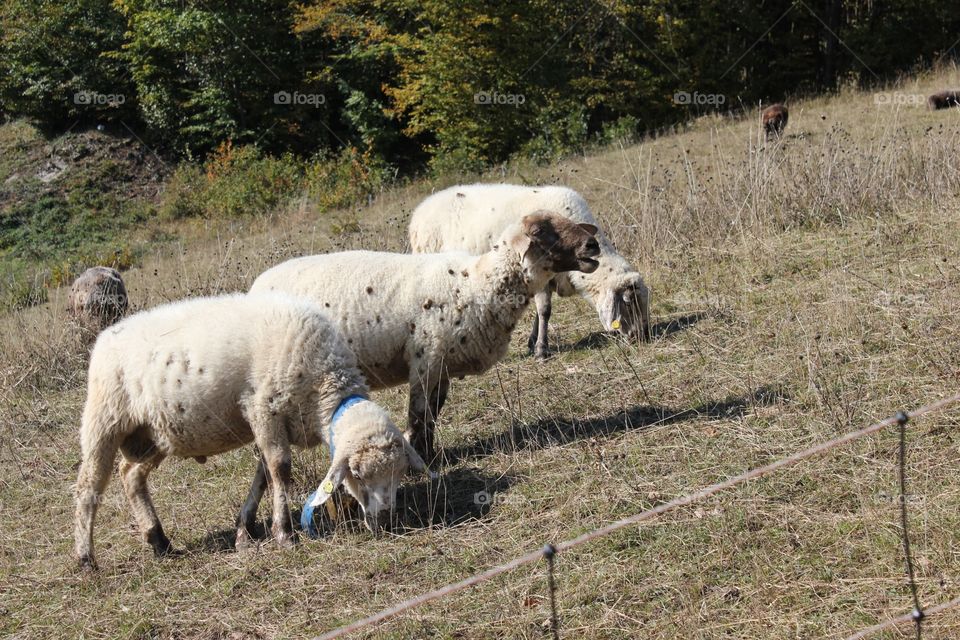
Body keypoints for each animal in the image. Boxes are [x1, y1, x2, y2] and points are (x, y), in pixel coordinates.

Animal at [73, 293, 425, 570]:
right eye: (358, 474)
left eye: (400, 472)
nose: (386, 521)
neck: (323, 384)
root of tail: (104, 337)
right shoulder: (263, 408)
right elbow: (280, 469)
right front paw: (284, 533)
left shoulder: (267, 420)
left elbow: (264, 473)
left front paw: (245, 529)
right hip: (104, 419)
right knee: (89, 487)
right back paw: (85, 558)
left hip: (153, 436)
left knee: (130, 474)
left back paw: (159, 542)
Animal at [249, 212, 601, 462]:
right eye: (540, 231)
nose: (592, 246)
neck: (476, 284)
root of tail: (255, 286)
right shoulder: (425, 359)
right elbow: (418, 413)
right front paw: (421, 455)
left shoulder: (442, 363)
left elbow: (434, 411)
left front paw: (431, 453)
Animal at [407, 184, 651, 359]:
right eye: (628, 302)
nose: (643, 338)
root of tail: (420, 210)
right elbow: (545, 311)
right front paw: (542, 350)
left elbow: (539, 312)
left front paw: (533, 342)